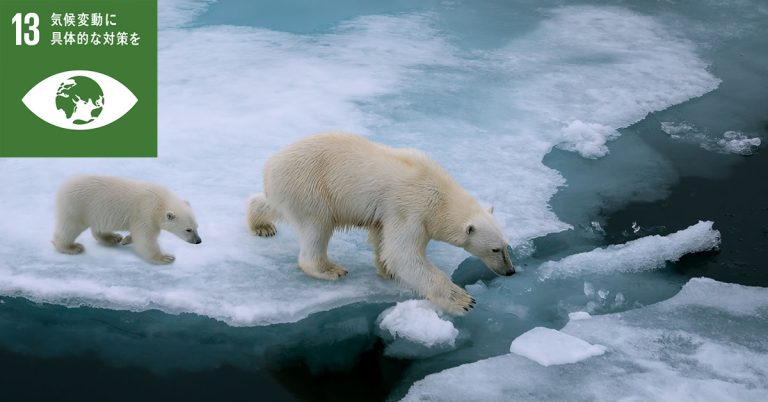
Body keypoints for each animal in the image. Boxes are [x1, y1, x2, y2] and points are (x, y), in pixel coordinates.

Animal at [249, 133, 512, 314]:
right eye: (495, 249)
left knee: (272, 204)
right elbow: (403, 254)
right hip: (310, 188)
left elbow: (383, 239)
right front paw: (463, 301)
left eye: (506, 246)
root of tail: (269, 167)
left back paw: (261, 224)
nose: (510, 271)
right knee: (317, 227)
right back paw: (330, 269)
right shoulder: (411, 208)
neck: (440, 194)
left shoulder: (391, 213)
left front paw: (387, 270)